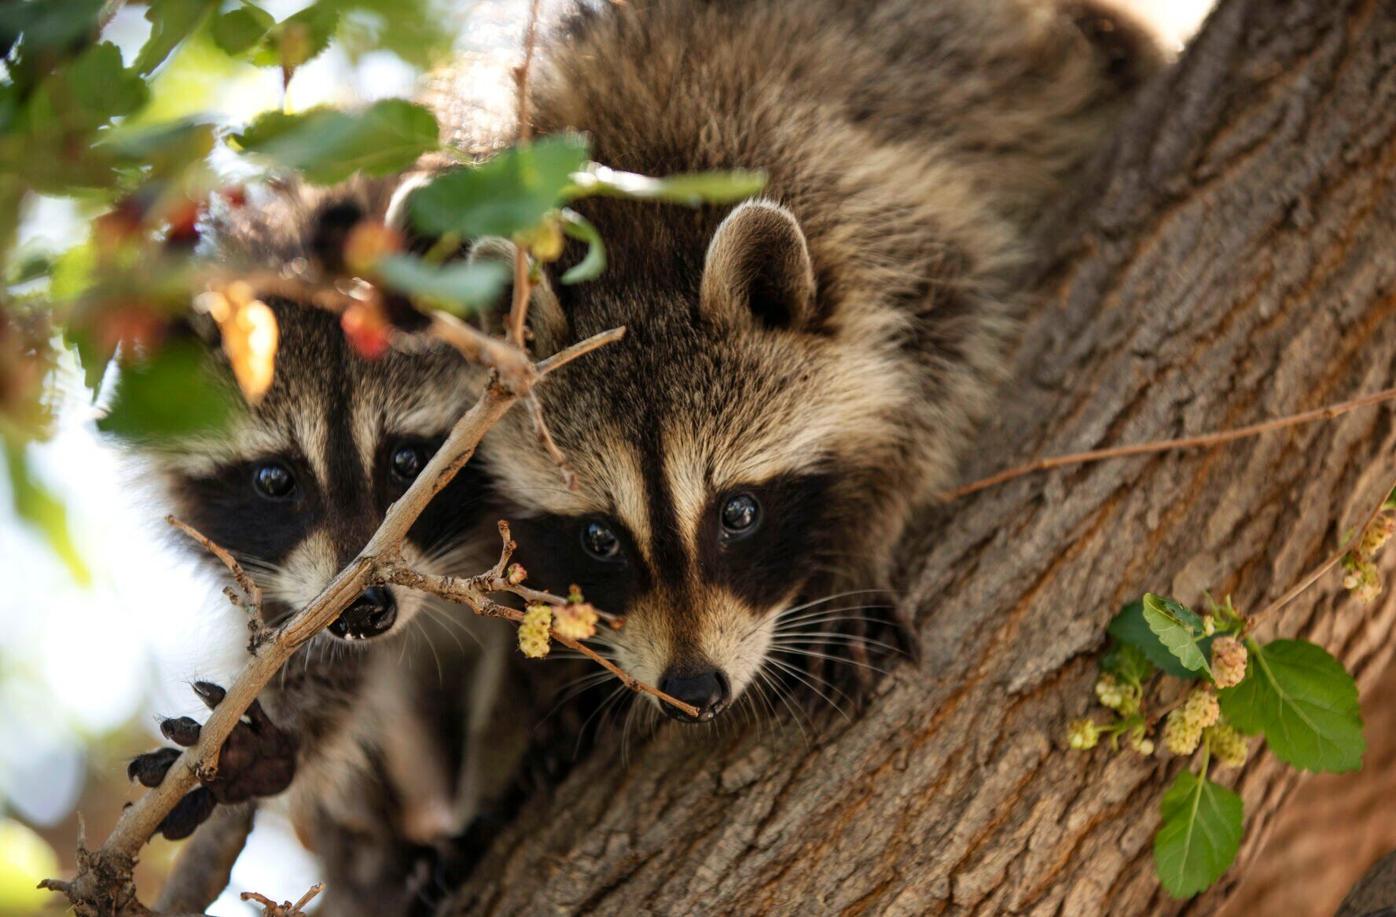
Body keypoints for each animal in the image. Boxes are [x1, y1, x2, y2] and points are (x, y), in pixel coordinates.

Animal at [461, 0, 1163, 723]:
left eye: (739, 512)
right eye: (599, 537)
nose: (694, 690)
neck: (636, 250)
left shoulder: (863, 199)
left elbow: (944, 353)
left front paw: (861, 535)